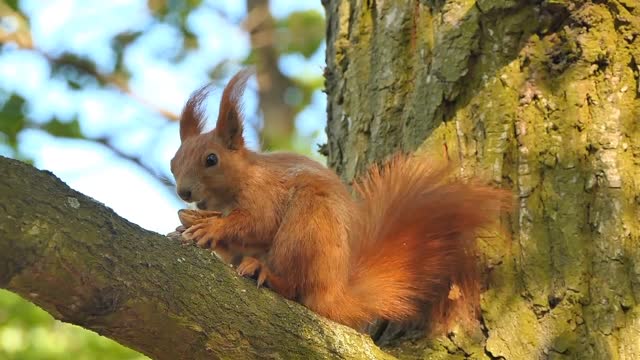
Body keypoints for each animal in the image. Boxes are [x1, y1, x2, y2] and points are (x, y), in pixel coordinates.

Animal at [170, 69, 510, 330]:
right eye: (174, 163)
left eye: (211, 159)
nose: (183, 192)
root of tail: (335, 292)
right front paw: (190, 226)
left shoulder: (264, 191)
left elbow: (258, 223)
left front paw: (212, 228)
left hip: (307, 228)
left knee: (295, 285)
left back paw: (266, 273)